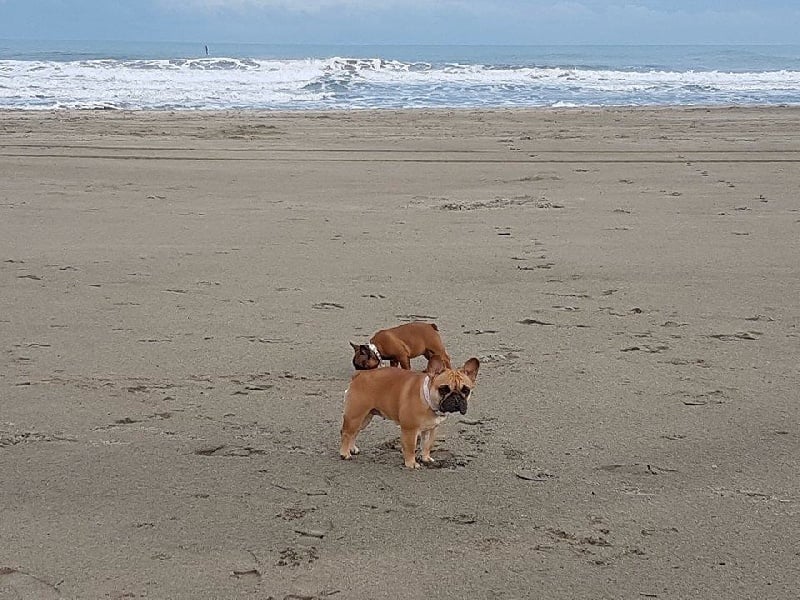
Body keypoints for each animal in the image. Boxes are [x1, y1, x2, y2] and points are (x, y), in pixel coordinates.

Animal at [340, 356, 479, 468]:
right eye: (443, 389)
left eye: (466, 390)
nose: (456, 398)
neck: (427, 400)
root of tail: (359, 375)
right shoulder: (410, 430)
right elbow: (411, 447)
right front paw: (411, 463)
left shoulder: (431, 429)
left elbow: (427, 445)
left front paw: (426, 458)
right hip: (356, 415)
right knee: (347, 433)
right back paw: (345, 453)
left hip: (365, 417)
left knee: (354, 432)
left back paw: (352, 449)